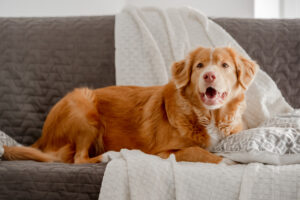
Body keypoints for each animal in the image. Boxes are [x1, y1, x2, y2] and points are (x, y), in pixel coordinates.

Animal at [2, 46, 258, 164]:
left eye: (225, 65)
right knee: (77, 158)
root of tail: (43, 135)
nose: (209, 76)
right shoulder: (164, 152)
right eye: (200, 66)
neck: (208, 116)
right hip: (84, 108)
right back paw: (107, 156)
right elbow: (197, 151)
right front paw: (227, 160)